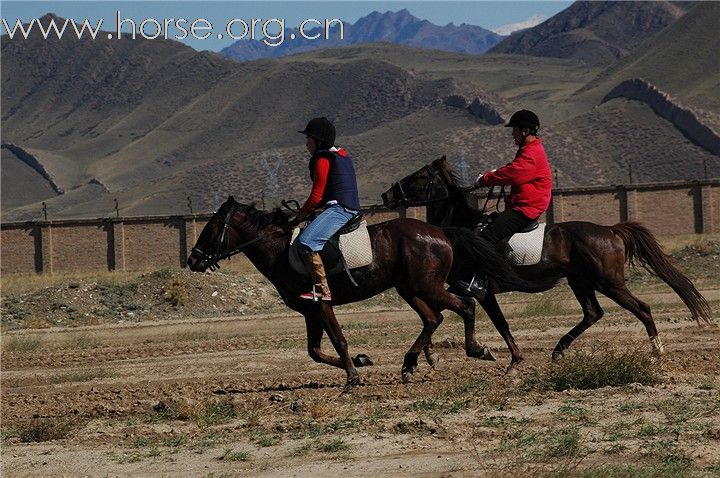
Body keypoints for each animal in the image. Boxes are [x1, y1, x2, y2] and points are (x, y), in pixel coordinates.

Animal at [187, 196, 552, 390]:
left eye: (211, 228)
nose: (192, 260)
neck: (281, 249)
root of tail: (441, 233)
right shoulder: (310, 312)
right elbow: (314, 352)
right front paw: (362, 362)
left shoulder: (322, 305)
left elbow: (337, 341)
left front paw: (352, 377)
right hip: (410, 289)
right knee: (433, 318)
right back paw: (410, 364)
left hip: (426, 286)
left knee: (464, 306)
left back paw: (476, 349)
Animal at [380, 155, 712, 372]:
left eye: (417, 176)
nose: (385, 194)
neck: (461, 231)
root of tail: (610, 230)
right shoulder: (454, 288)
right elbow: (442, 315)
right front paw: (431, 356)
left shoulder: (478, 289)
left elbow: (495, 322)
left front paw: (507, 360)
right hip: (581, 282)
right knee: (593, 313)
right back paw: (558, 351)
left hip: (609, 282)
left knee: (641, 308)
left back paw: (657, 352)